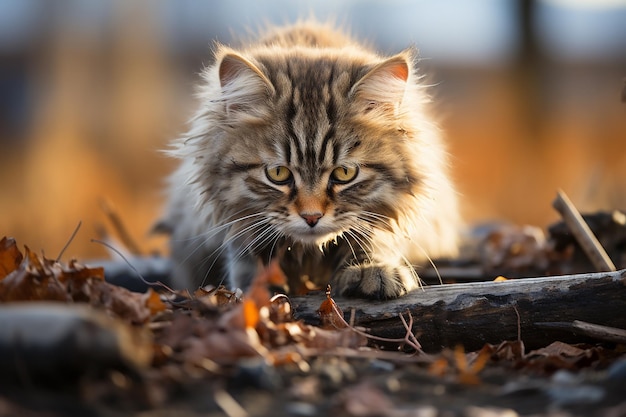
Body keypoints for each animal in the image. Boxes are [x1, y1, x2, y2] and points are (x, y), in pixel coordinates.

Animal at [156, 21, 458, 300]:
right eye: (278, 173)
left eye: (344, 173)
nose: (311, 217)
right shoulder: (232, 219)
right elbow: (245, 255)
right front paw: (257, 288)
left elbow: (375, 237)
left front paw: (372, 270)